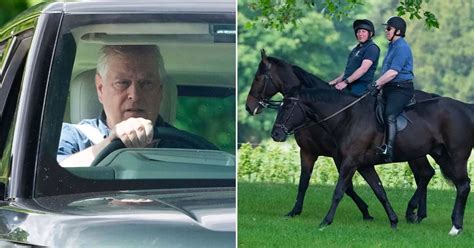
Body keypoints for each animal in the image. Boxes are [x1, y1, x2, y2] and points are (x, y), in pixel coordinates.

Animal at [248, 50, 436, 225]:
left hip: (416, 153)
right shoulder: (308, 152)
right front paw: (295, 211)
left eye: (258, 78)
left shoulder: (341, 156)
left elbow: (347, 187)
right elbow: (304, 182)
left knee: (425, 174)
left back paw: (413, 210)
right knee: (424, 174)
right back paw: (419, 214)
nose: (249, 107)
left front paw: (365, 211)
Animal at [272, 86, 472, 234]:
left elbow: (339, 191)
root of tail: (466, 108)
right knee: (450, 182)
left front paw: (326, 221)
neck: (348, 117)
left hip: (456, 157)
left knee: (461, 185)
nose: (275, 134)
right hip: (441, 156)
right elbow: (380, 192)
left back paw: (454, 227)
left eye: (287, 108)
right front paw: (393, 221)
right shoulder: (364, 165)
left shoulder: (349, 162)